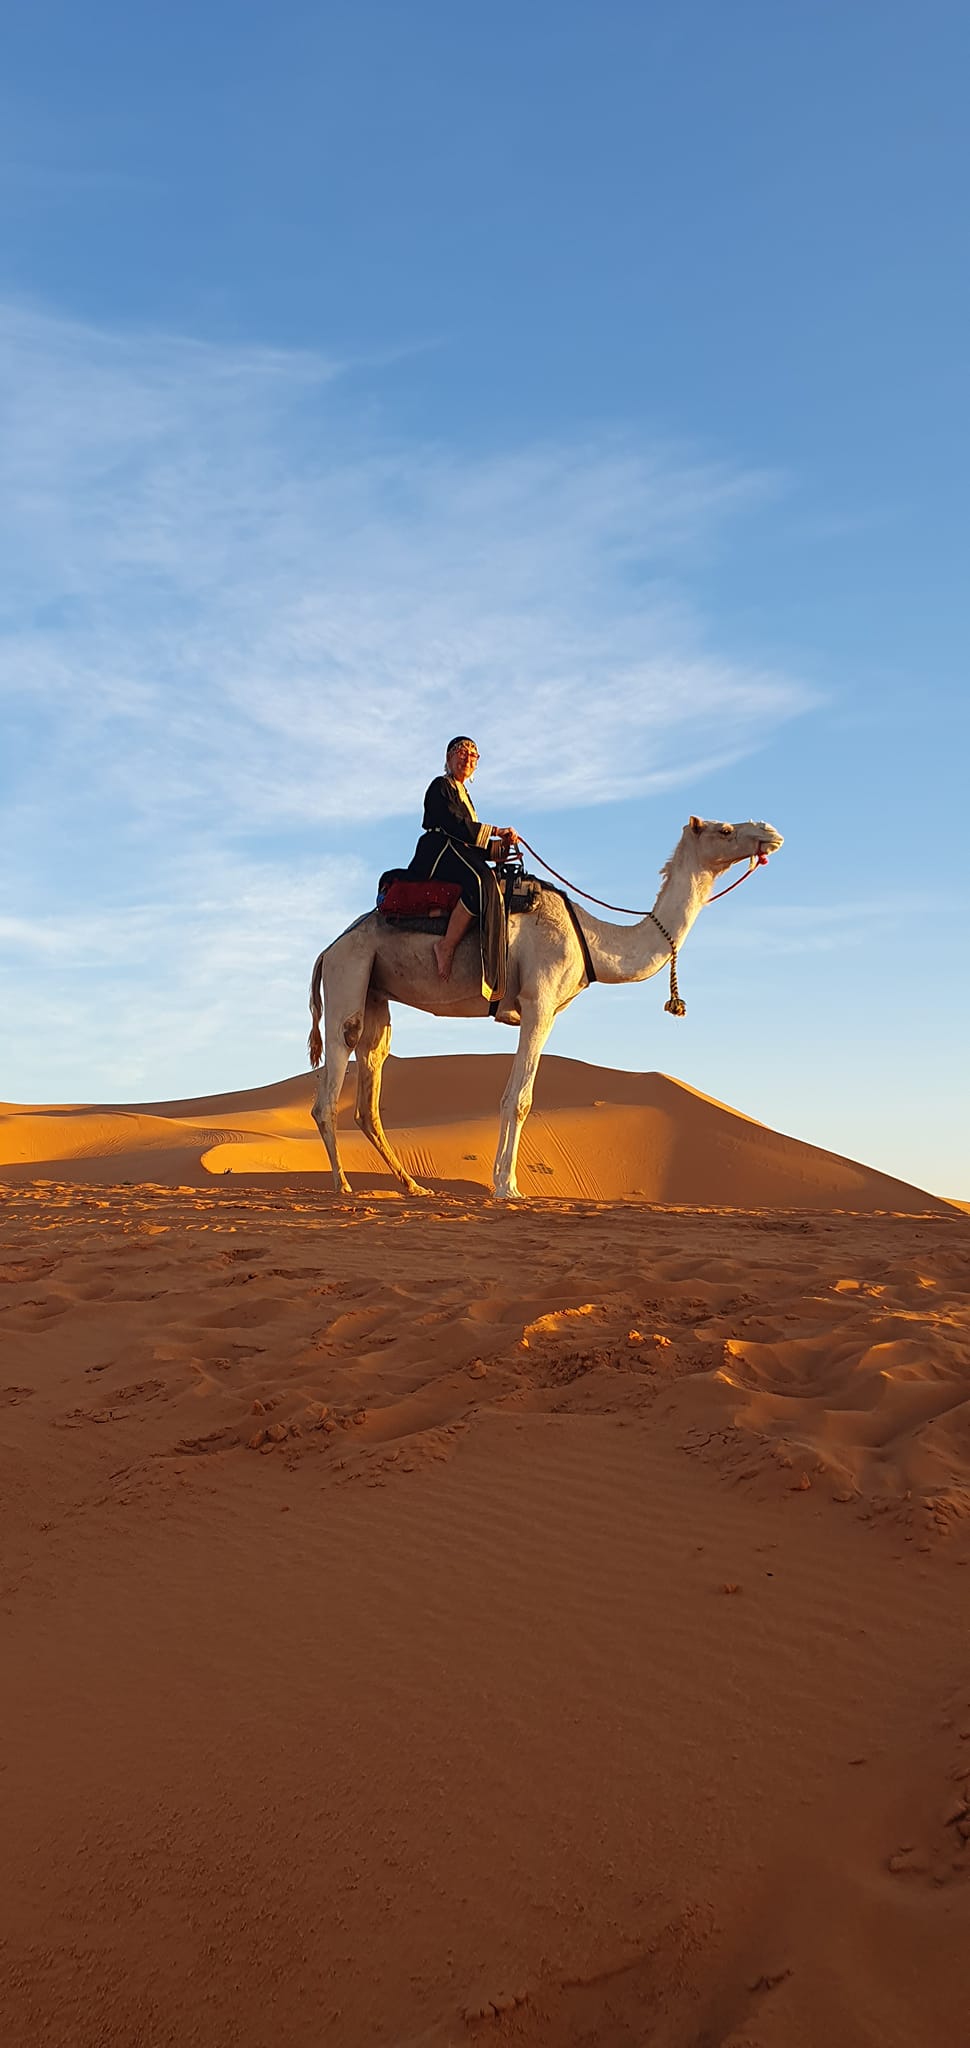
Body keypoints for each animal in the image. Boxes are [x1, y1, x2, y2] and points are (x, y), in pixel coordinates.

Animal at [308, 815, 783, 1199]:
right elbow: (519, 1098)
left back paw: (412, 1186)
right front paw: (507, 1187)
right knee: (329, 1085)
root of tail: (327, 950)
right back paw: (343, 1185)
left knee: (370, 1087)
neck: (592, 940)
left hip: (375, 994)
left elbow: (515, 1095)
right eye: (726, 829)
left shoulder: (546, 1010)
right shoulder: (540, 1003)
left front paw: (502, 1183)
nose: (771, 833)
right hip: (349, 975)